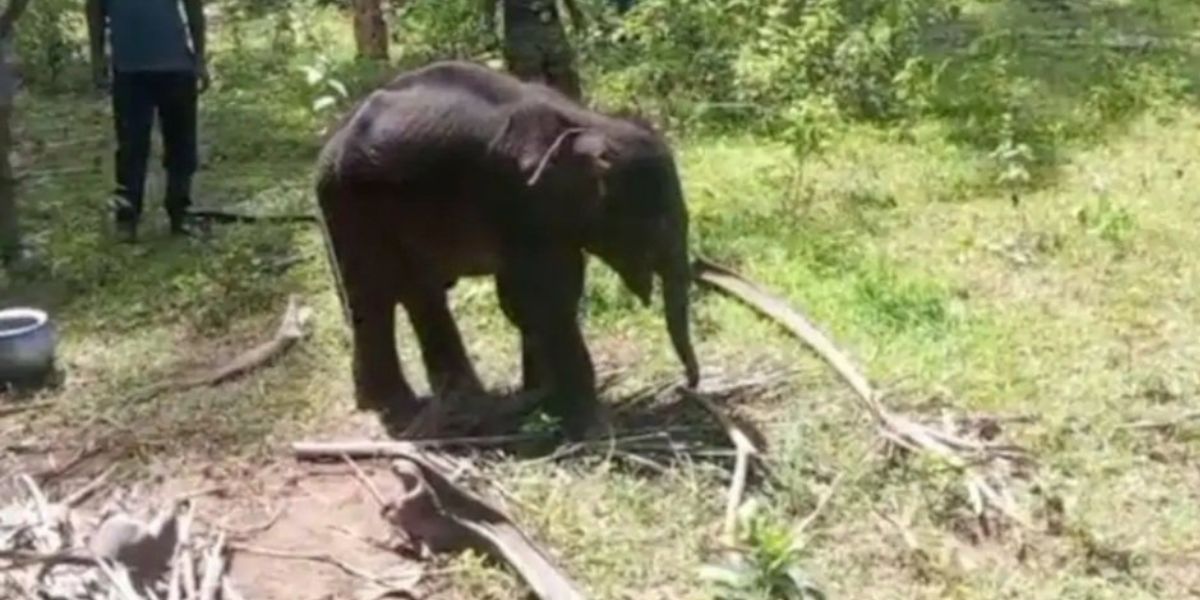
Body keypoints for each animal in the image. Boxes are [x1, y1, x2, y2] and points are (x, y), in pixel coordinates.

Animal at [314, 60, 699, 439]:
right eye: (659, 221)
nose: (689, 385)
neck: (587, 122)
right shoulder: (517, 201)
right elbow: (542, 299)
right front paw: (593, 428)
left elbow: (532, 300)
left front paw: (542, 402)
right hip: (349, 206)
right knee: (374, 294)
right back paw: (399, 405)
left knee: (416, 292)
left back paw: (460, 403)